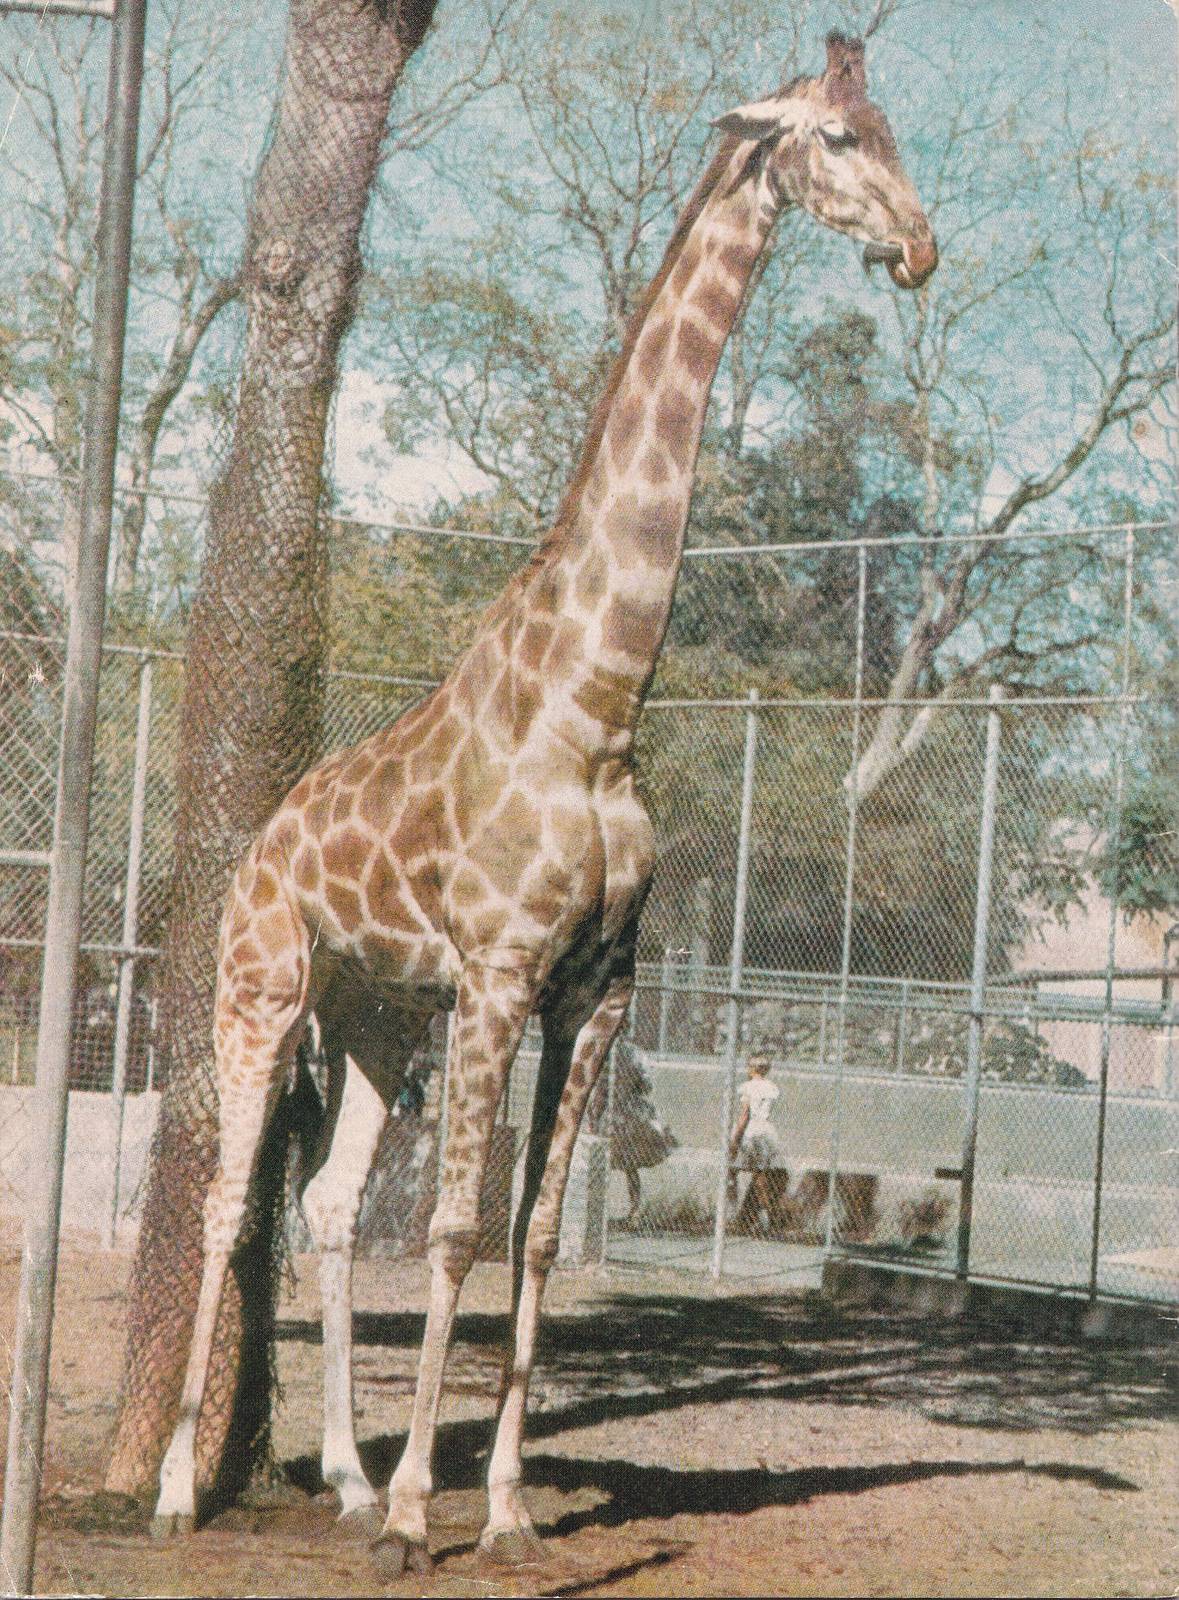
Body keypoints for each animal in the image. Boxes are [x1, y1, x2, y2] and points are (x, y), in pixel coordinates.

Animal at [150, 31, 936, 1572]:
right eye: (834, 139)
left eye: (891, 128)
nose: (922, 248)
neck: (599, 699)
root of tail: (267, 836)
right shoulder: (503, 972)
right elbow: (455, 1227)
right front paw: (419, 1515)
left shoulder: (596, 990)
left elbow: (528, 1237)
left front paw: (505, 1507)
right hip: (264, 985)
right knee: (228, 1199)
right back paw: (176, 1488)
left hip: (378, 1015)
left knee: (327, 1204)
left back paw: (339, 1479)